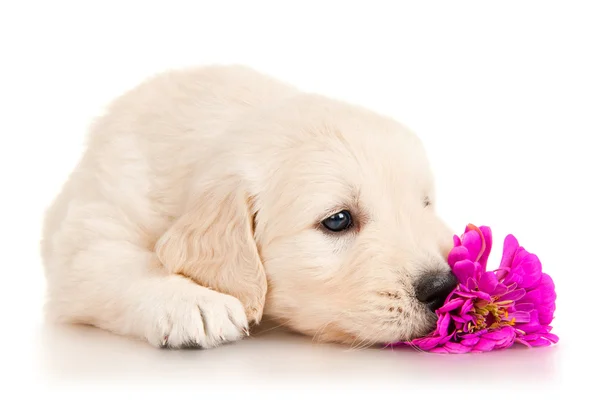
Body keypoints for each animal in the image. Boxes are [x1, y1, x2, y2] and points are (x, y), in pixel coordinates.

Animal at [41, 64, 454, 348]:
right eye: (338, 220)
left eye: (425, 205)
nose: (443, 287)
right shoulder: (92, 228)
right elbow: (117, 263)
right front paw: (193, 302)